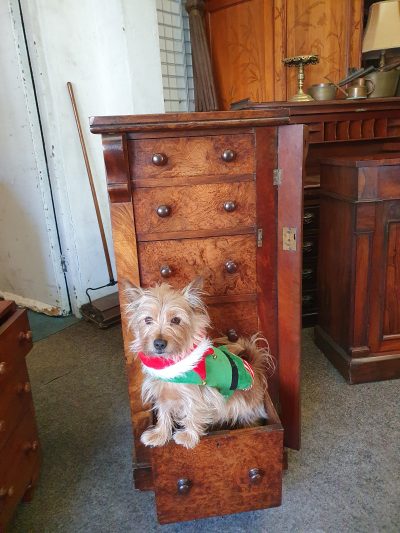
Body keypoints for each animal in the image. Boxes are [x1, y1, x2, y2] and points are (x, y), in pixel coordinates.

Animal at [126, 278, 276, 448]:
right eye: (147, 320)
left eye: (176, 320)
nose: (159, 343)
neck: (171, 363)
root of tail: (254, 368)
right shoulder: (162, 392)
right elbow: (164, 413)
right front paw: (160, 435)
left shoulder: (199, 395)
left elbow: (194, 412)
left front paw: (188, 437)